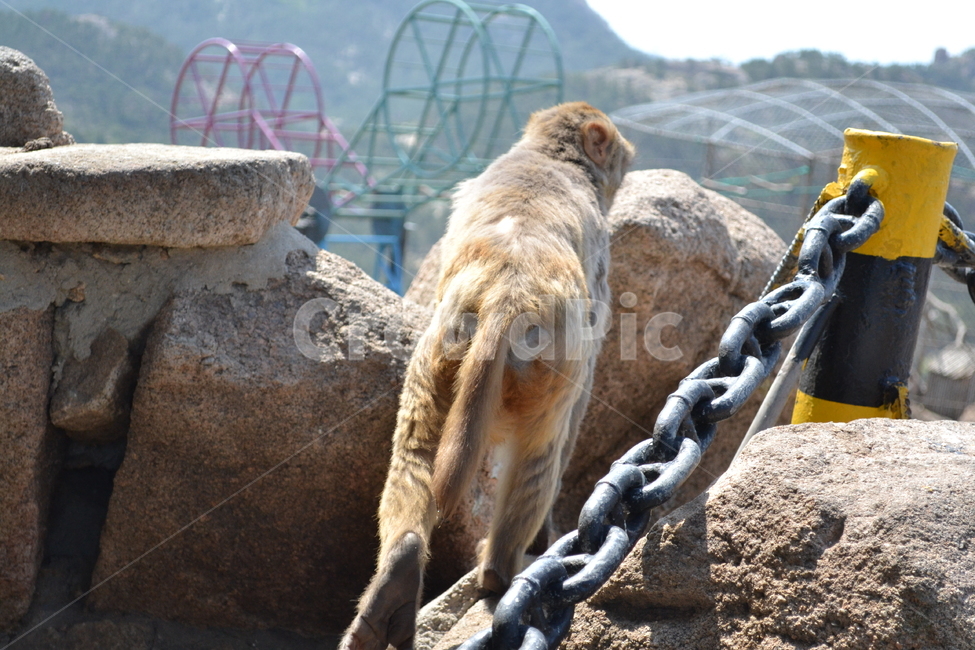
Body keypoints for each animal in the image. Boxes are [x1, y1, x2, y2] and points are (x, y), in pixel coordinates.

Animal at [339, 102, 635, 650]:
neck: (551, 154)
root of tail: (505, 297)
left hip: (441, 350)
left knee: (417, 448)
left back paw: (399, 573)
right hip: (550, 368)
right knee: (542, 452)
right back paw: (502, 573)